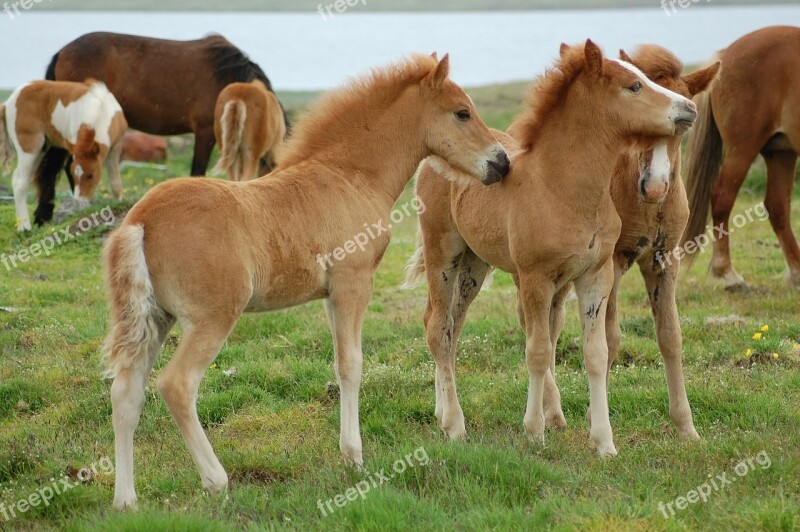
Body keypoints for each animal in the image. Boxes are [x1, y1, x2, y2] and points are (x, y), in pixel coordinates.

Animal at [0, 79, 126, 231]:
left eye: (91, 175)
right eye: (73, 175)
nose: (80, 201)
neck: (100, 108)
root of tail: (7, 103)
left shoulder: (116, 146)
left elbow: (116, 183)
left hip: (42, 148)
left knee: (15, 179)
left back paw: (20, 226)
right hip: (30, 148)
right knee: (20, 183)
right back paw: (25, 228)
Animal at [103, 55, 510, 512]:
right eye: (462, 113)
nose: (501, 163)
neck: (350, 174)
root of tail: (139, 221)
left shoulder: (330, 295)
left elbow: (338, 362)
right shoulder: (353, 284)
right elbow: (352, 365)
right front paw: (353, 456)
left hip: (156, 318)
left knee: (126, 393)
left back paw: (125, 501)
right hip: (212, 317)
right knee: (176, 385)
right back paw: (216, 480)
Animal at [404, 42, 696, 458]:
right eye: (635, 85)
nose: (688, 108)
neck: (562, 188)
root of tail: (431, 158)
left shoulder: (596, 276)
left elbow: (597, 352)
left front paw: (603, 442)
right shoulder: (535, 279)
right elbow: (538, 350)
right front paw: (534, 431)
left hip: (475, 264)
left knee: (450, 326)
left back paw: (442, 410)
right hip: (443, 253)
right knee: (436, 328)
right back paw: (454, 425)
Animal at [680, 24, 800, 288]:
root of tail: (726, 53)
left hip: (781, 152)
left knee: (777, 205)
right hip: (743, 148)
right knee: (722, 198)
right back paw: (728, 274)